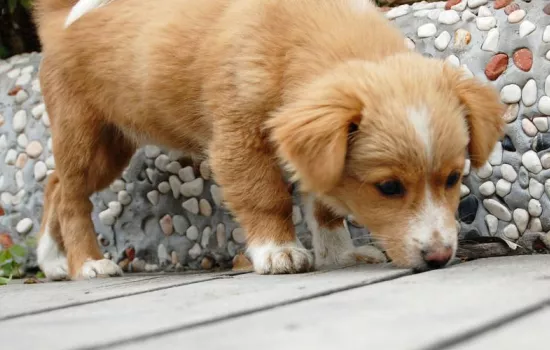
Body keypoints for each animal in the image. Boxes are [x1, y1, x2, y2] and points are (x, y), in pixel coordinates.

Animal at [31, 0, 504, 280]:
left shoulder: (308, 149)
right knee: (70, 197)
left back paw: (52, 261)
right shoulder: (237, 139)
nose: (440, 258)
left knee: (53, 185)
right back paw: (87, 263)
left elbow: (326, 206)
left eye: (453, 178)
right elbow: (266, 197)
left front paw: (340, 254)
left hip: (112, 147)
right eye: (388, 187)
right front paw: (279, 250)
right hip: (87, 138)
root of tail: (60, 20)